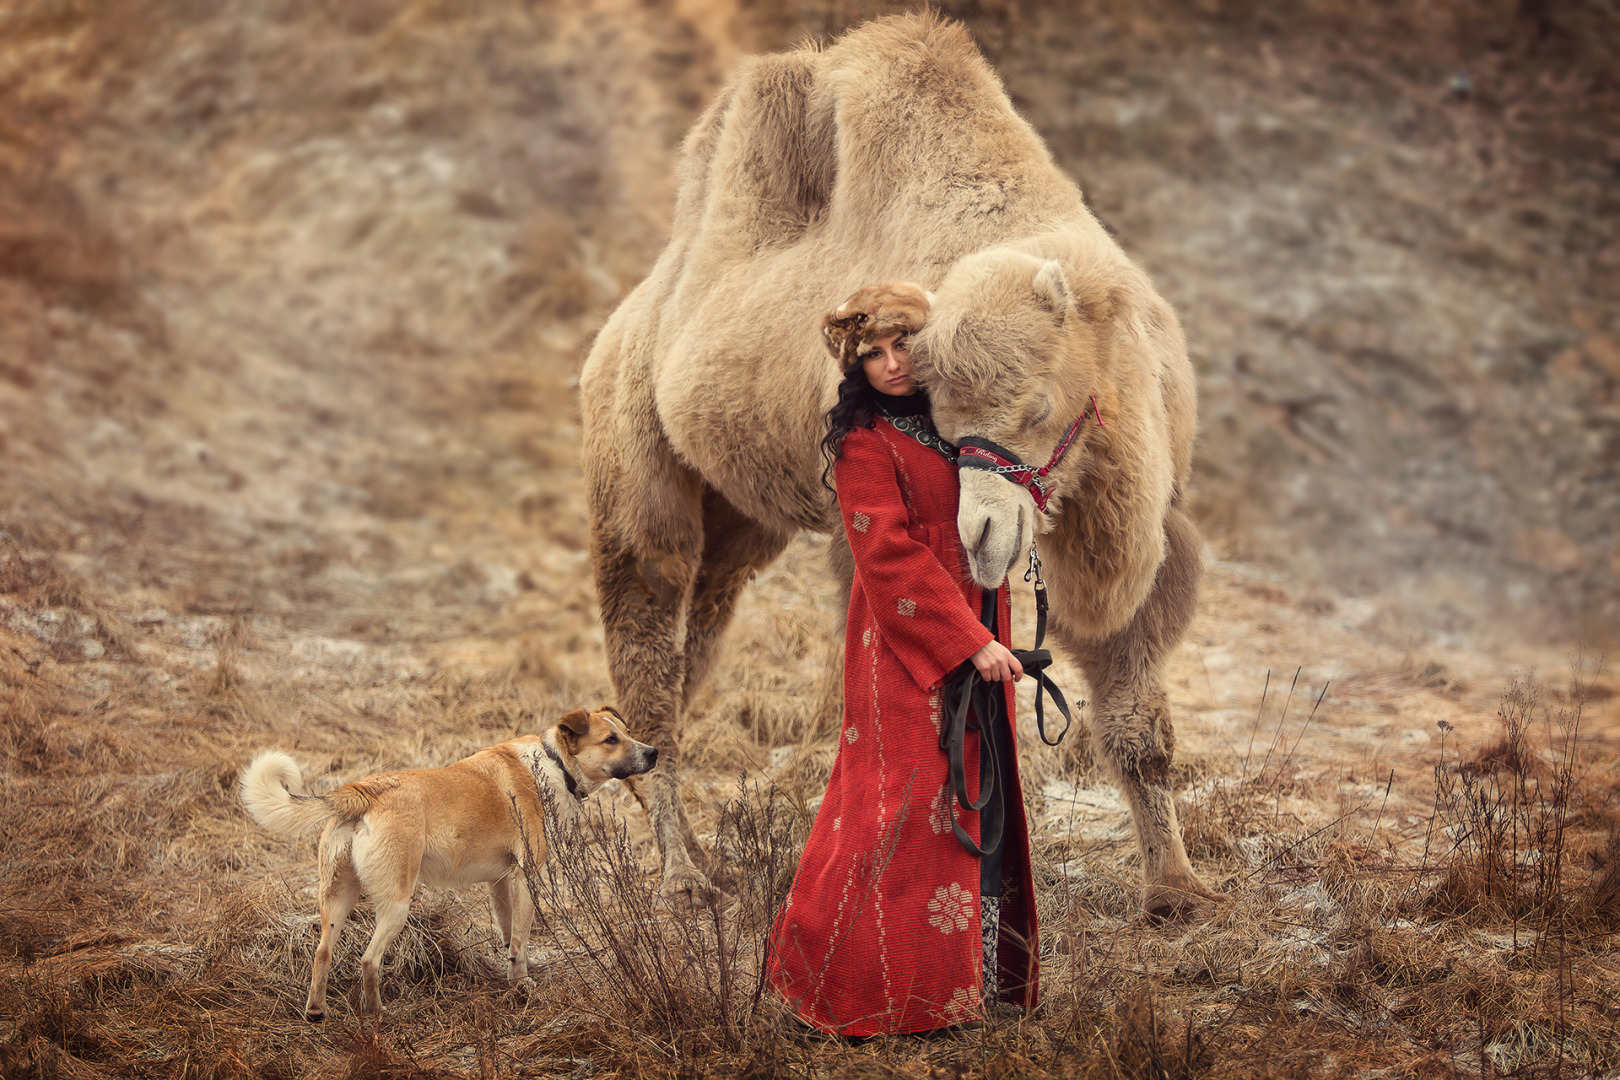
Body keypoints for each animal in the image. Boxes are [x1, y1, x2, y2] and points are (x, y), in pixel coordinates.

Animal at [236, 709, 654, 1023]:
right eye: (611, 740)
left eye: (627, 734)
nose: (654, 753)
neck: (554, 766)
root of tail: (362, 792)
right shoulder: (525, 877)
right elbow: (521, 938)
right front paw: (522, 986)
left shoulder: (500, 882)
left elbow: (509, 937)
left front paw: (512, 977)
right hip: (397, 905)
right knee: (369, 960)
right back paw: (378, 1013)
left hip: (337, 899)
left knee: (322, 952)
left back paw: (316, 1012)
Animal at [576, 10, 1218, 919]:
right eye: (937, 421)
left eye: (1038, 409)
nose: (984, 534)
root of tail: (629, 317)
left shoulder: (1136, 515)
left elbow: (1139, 715)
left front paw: (1176, 889)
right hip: (632, 450)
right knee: (648, 628)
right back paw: (685, 877)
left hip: (741, 515)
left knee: (700, 623)